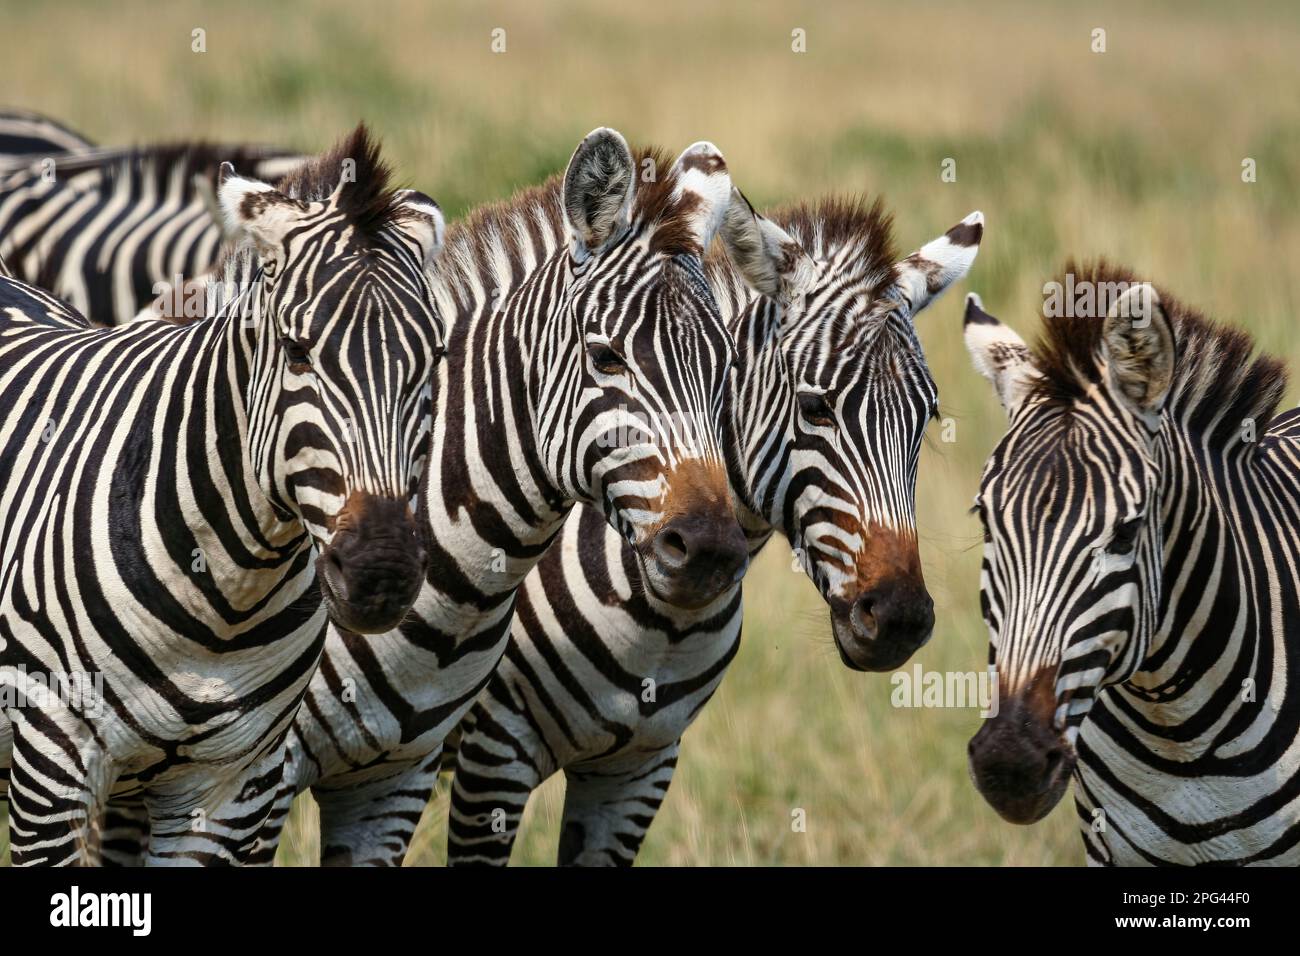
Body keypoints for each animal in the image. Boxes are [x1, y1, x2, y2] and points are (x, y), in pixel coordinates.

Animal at [0, 127, 444, 868]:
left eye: (433, 361)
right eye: (296, 350)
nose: (380, 573)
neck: (227, 595)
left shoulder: (229, 784)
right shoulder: (52, 760)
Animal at [441, 195, 977, 868]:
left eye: (926, 417)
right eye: (815, 408)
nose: (901, 617)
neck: (663, 623)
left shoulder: (641, 766)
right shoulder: (493, 749)